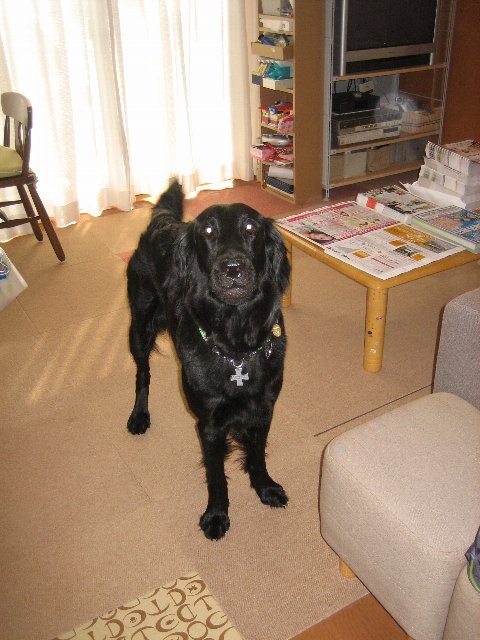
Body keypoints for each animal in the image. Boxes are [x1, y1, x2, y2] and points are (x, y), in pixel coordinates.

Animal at [126, 179, 290, 539]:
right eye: (208, 231)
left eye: (250, 228)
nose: (233, 269)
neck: (236, 345)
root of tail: (162, 221)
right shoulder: (209, 425)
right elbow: (216, 477)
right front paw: (216, 515)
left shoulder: (264, 409)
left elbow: (258, 455)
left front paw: (264, 487)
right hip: (139, 328)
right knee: (143, 374)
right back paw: (139, 415)